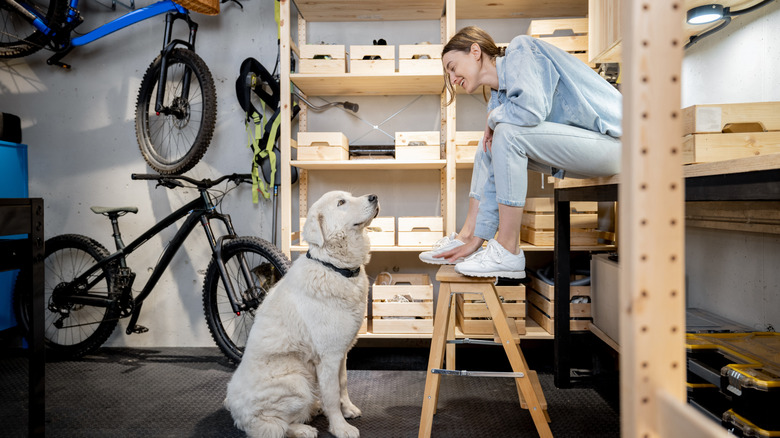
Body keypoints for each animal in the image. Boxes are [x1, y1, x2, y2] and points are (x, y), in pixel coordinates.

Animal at [224, 191, 380, 438]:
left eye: (350, 196)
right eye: (341, 203)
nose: (374, 196)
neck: (334, 267)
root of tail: (235, 412)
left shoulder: (341, 352)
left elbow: (343, 384)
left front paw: (348, 409)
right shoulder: (329, 356)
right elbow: (332, 395)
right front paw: (340, 427)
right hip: (297, 380)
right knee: (273, 426)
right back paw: (304, 428)